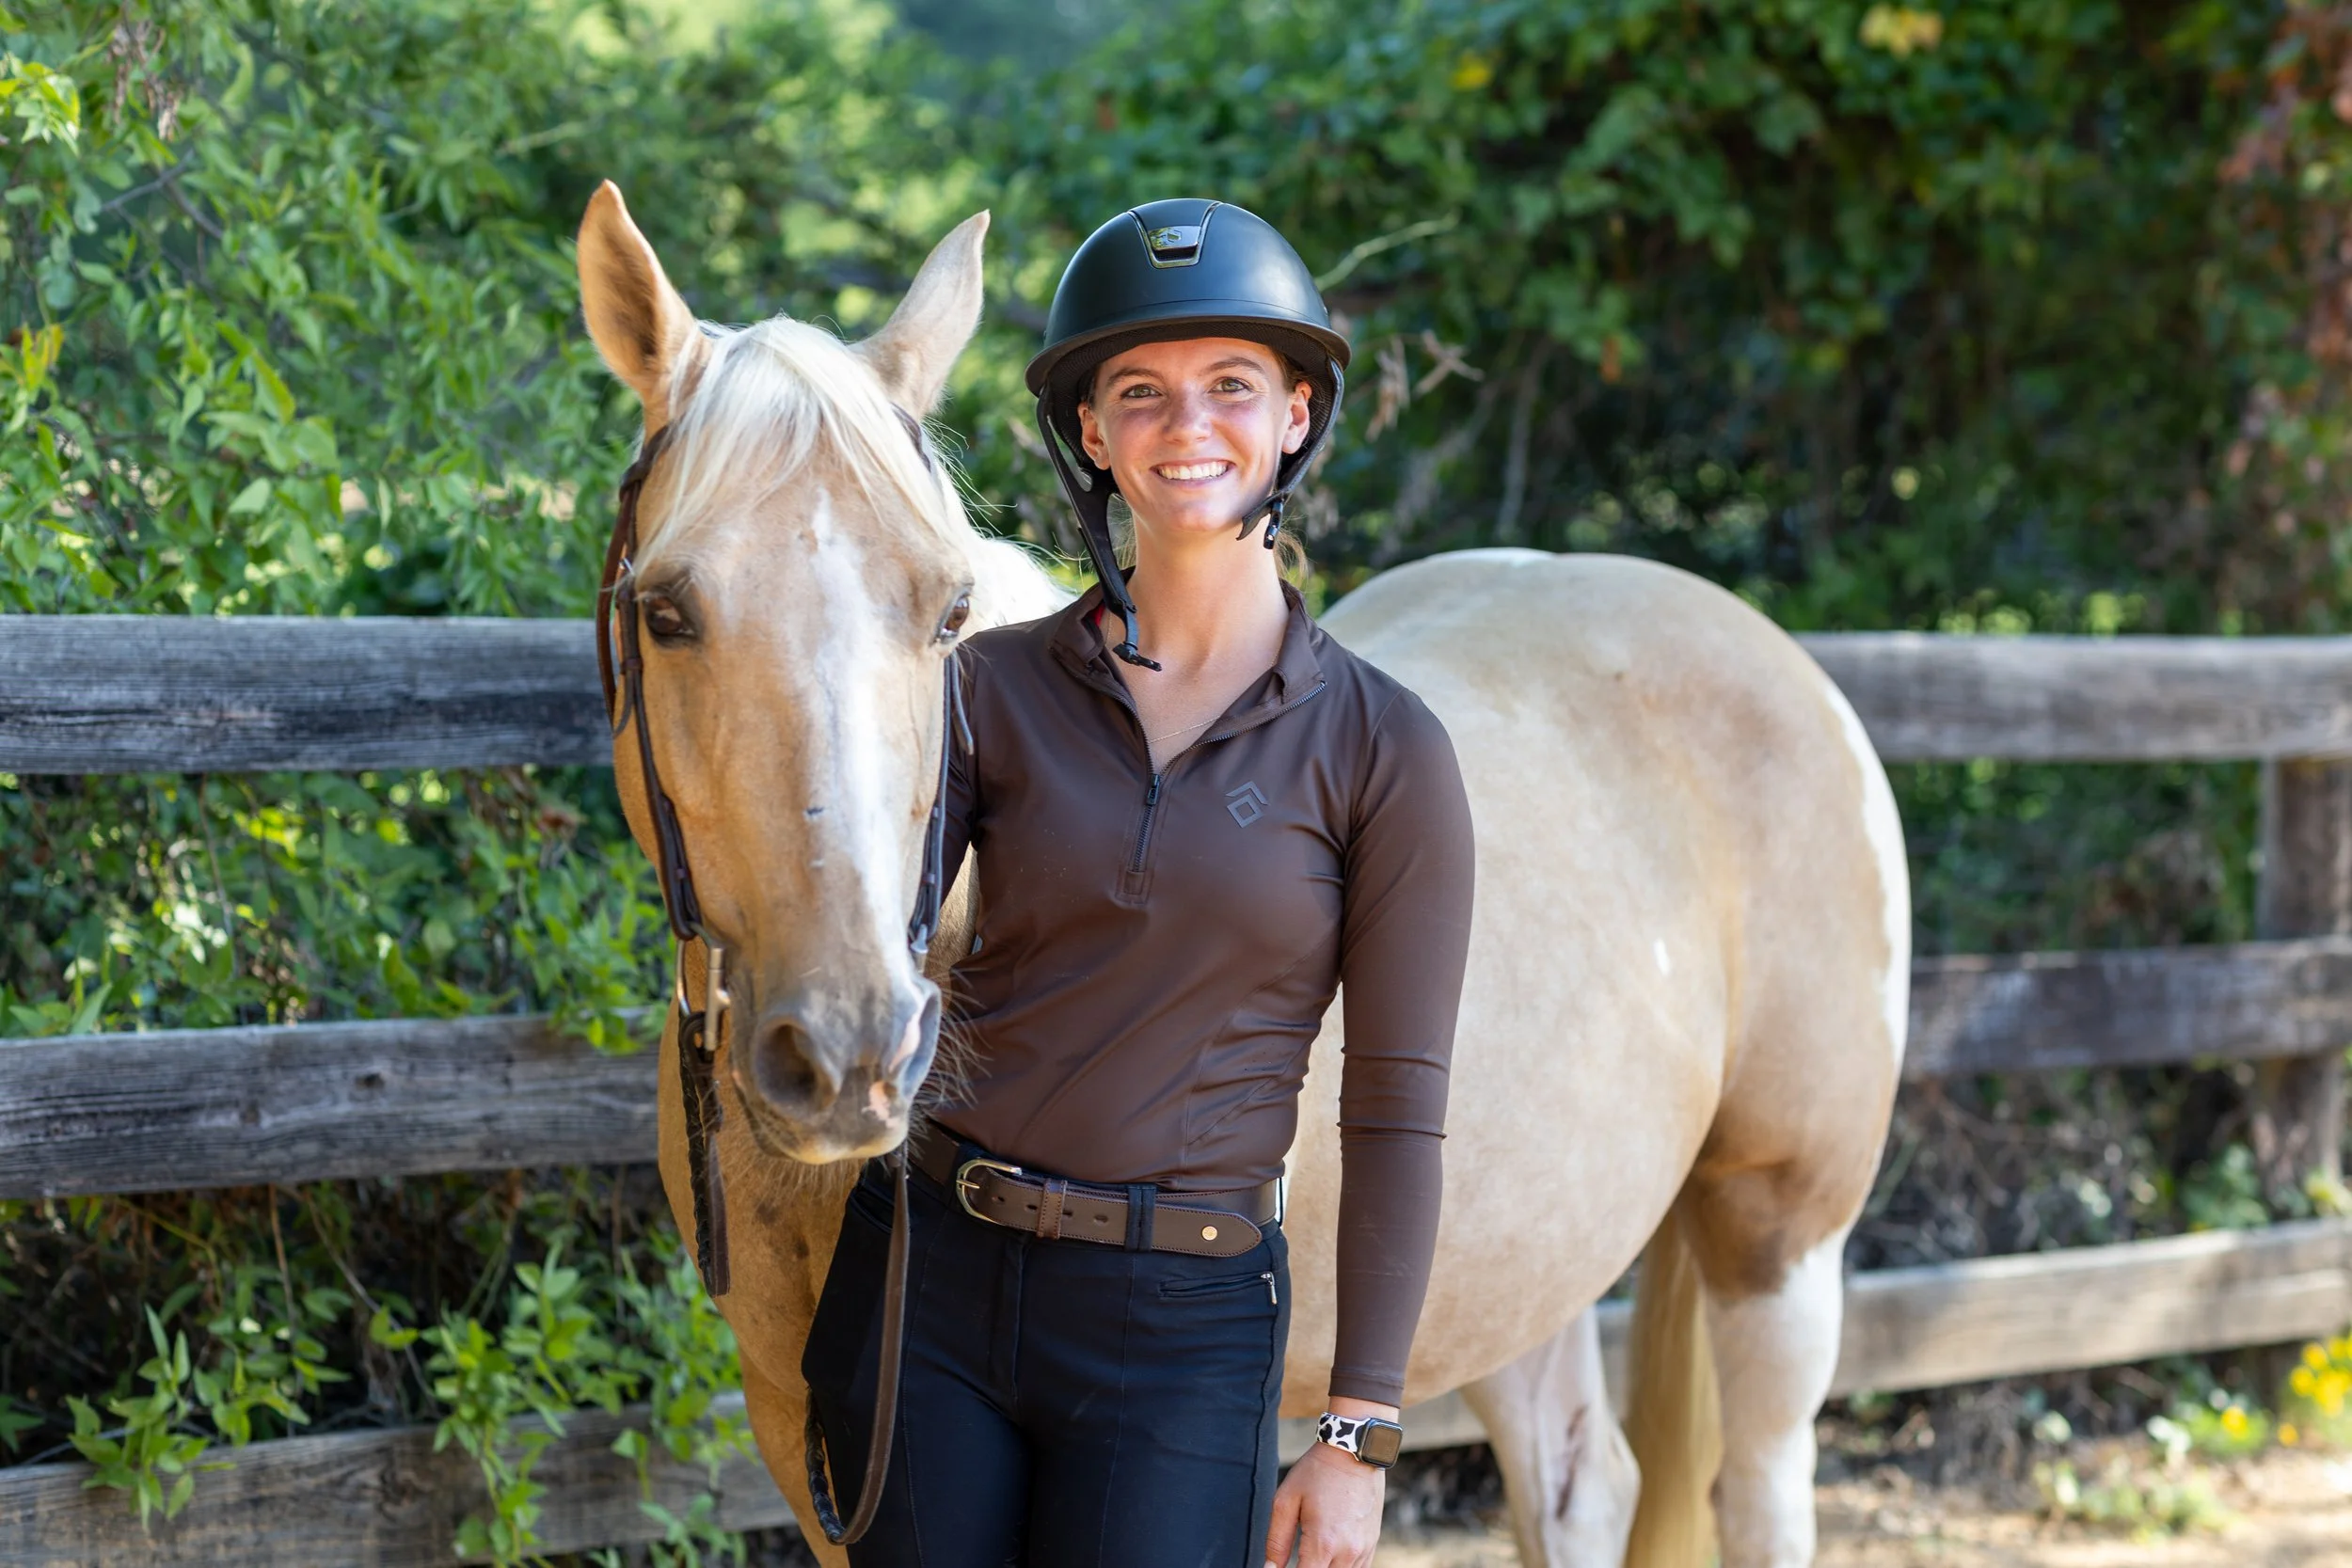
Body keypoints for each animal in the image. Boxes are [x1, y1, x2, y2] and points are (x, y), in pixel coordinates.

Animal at [575, 180, 1907, 1568]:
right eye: (667, 610)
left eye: (947, 614)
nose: (849, 1053)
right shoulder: (812, 1436)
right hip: (1518, 1256)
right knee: (1578, 1482)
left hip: (1779, 1238)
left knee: (1759, 1482)